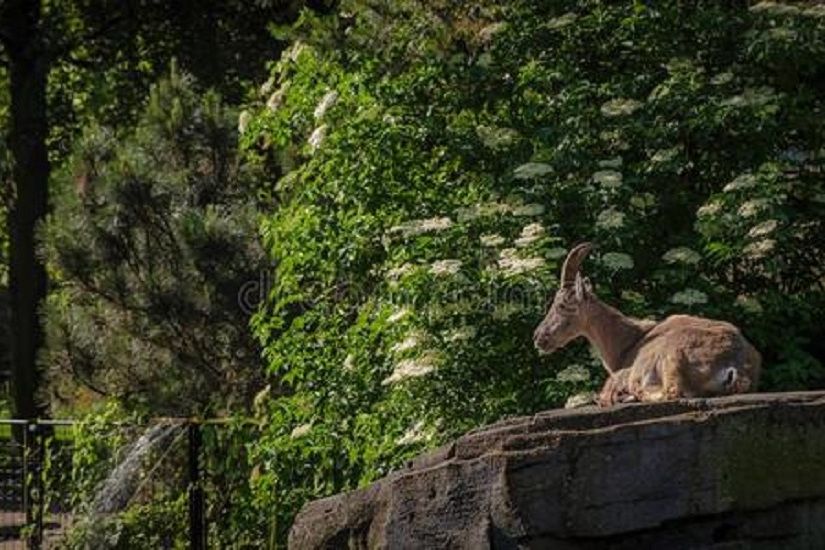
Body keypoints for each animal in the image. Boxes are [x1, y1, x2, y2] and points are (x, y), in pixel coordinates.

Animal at [536, 244, 760, 408]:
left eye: (562, 304)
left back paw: (628, 395)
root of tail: (736, 366)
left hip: (673, 356)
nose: (538, 337)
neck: (629, 342)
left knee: (673, 392)